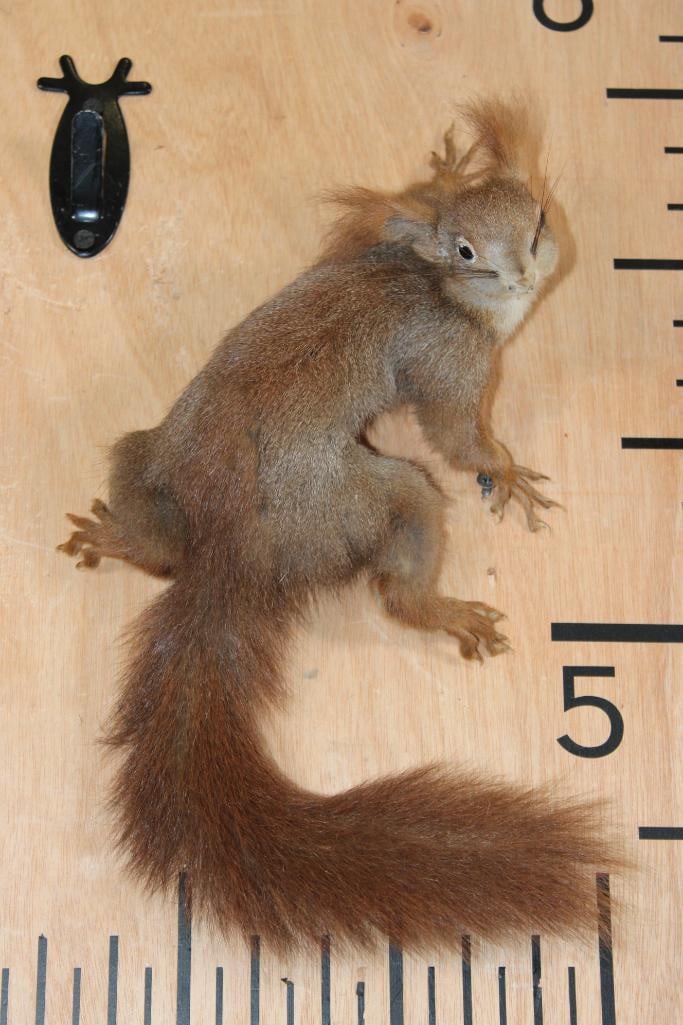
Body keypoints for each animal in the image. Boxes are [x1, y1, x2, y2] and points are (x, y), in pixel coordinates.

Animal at [59, 100, 611, 952]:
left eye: (539, 219)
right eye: (466, 251)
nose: (523, 273)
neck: (434, 282)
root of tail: (232, 554)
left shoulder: (376, 234)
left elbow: (393, 203)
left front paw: (448, 164)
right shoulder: (447, 363)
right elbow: (457, 435)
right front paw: (506, 470)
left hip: (143, 457)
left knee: (158, 546)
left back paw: (122, 539)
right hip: (379, 497)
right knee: (396, 581)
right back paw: (442, 609)